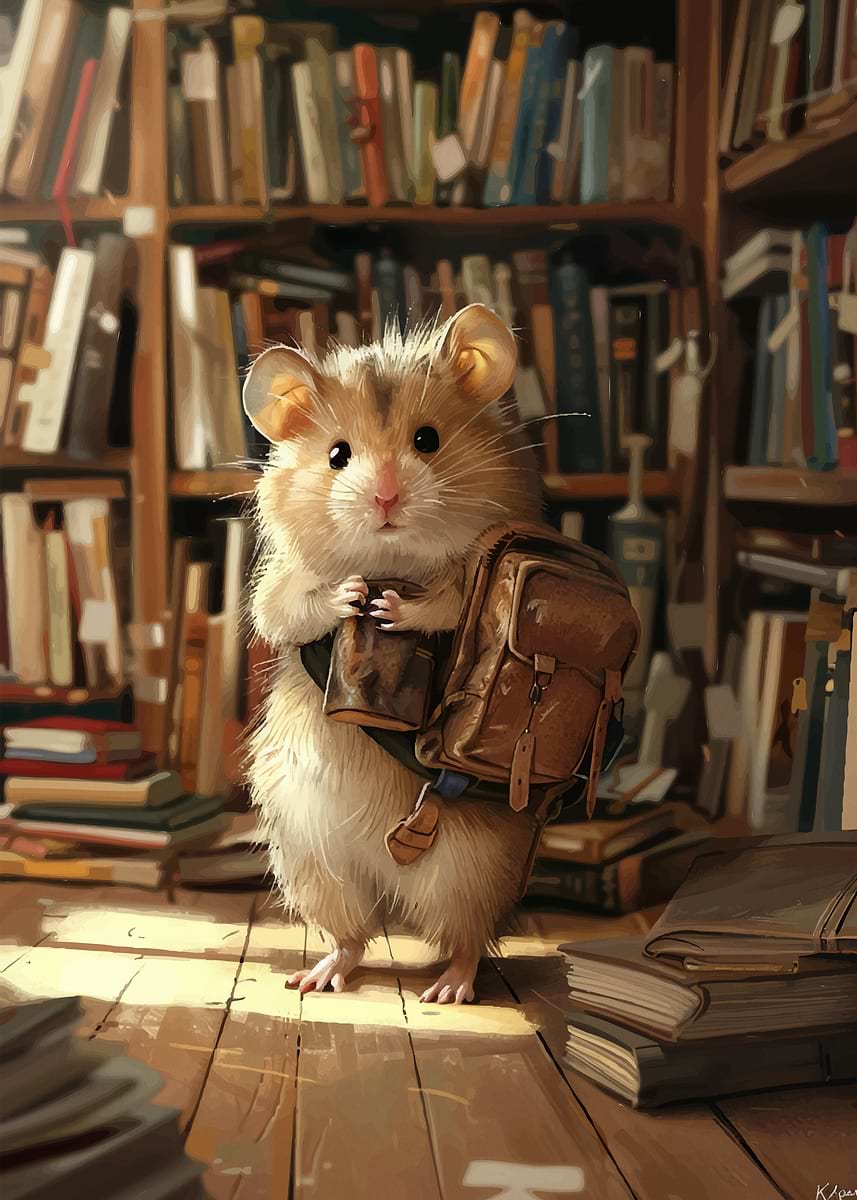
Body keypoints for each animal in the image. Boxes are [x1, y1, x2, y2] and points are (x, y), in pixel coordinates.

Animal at [244, 303, 543, 1004]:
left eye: (428, 440)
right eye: (337, 454)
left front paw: (392, 610)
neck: (391, 560)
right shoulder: (279, 585)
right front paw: (352, 594)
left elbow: (449, 604)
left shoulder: (475, 577)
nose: (385, 499)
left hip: (470, 871)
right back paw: (313, 979)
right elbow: (288, 610)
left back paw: (449, 991)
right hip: (311, 863)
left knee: (467, 938)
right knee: (352, 935)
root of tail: (390, 883)